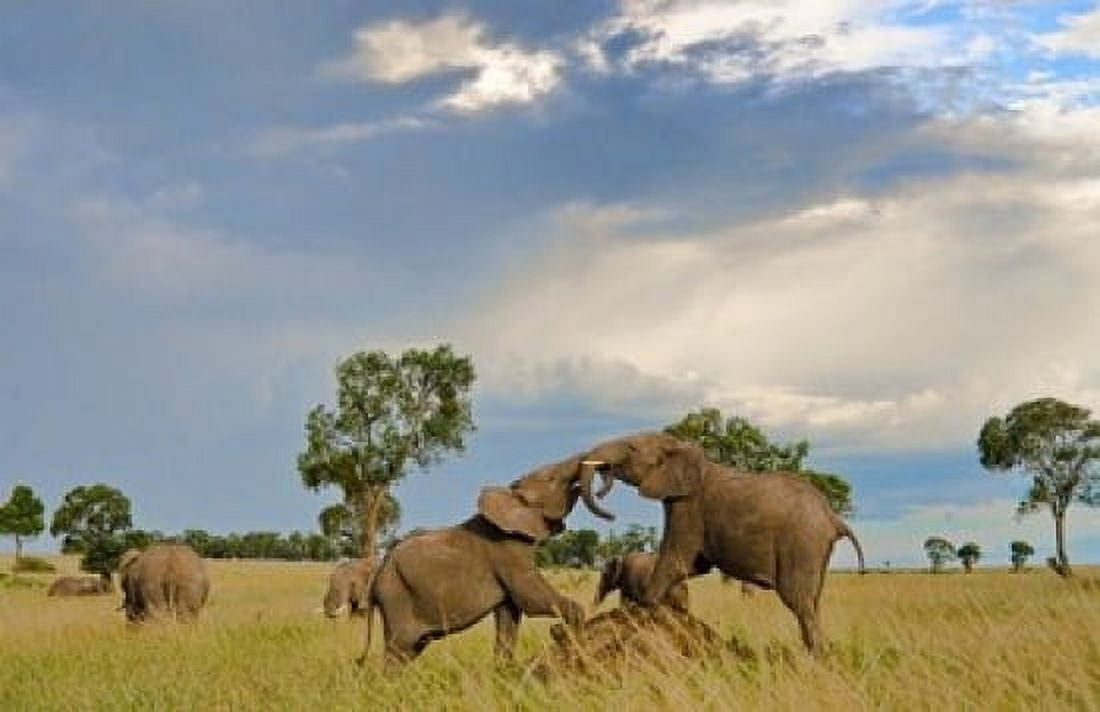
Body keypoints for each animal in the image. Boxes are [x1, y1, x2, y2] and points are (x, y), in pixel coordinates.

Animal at [361, 455, 614, 670]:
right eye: (552, 479)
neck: (511, 492)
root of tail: (377, 577)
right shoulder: (506, 550)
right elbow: (530, 599)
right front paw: (566, 629)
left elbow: (509, 614)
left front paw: (504, 670)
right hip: (396, 598)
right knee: (397, 650)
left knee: (410, 651)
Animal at [577, 431, 865, 654]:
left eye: (632, 448)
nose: (605, 502)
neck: (680, 447)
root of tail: (833, 517)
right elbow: (694, 566)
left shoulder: (688, 506)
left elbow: (677, 560)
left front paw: (643, 609)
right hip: (816, 549)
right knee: (814, 601)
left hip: (802, 542)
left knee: (799, 601)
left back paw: (815, 659)